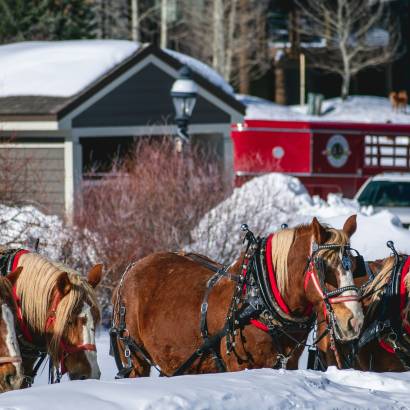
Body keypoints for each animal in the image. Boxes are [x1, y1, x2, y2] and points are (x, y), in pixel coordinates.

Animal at [110, 216, 364, 376]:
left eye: (353, 265)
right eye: (324, 268)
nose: (355, 320)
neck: (258, 298)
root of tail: (129, 271)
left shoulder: (288, 363)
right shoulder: (239, 365)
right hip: (135, 359)